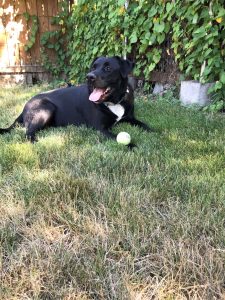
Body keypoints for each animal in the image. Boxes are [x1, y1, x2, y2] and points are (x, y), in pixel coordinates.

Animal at [0, 57, 153, 144]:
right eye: (93, 67)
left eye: (108, 68)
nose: (89, 76)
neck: (114, 101)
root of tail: (25, 106)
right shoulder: (100, 128)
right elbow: (116, 137)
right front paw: (132, 145)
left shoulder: (130, 118)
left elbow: (145, 125)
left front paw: (156, 133)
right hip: (46, 109)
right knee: (28, 133)